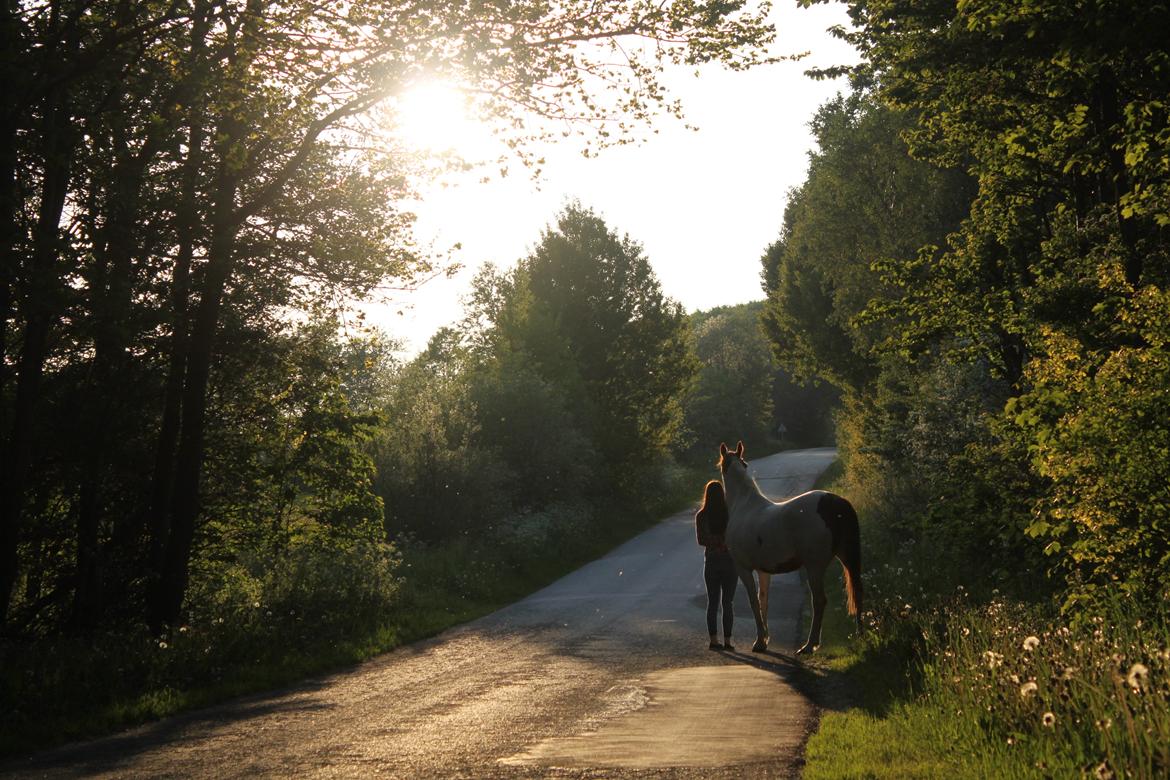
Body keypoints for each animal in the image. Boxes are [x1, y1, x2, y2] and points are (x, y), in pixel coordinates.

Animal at [716, 442, 865, 654]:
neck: (744, 506)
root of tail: (837, 503)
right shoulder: (763, 571)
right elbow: (763, 601)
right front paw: (764, 640)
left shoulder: (743, 569)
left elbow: (754, 602)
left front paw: (759, 642)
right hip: (847, 558)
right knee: (858, 593)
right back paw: (861, 637)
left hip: (814, 567)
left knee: (819, 601)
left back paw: (809, 645)